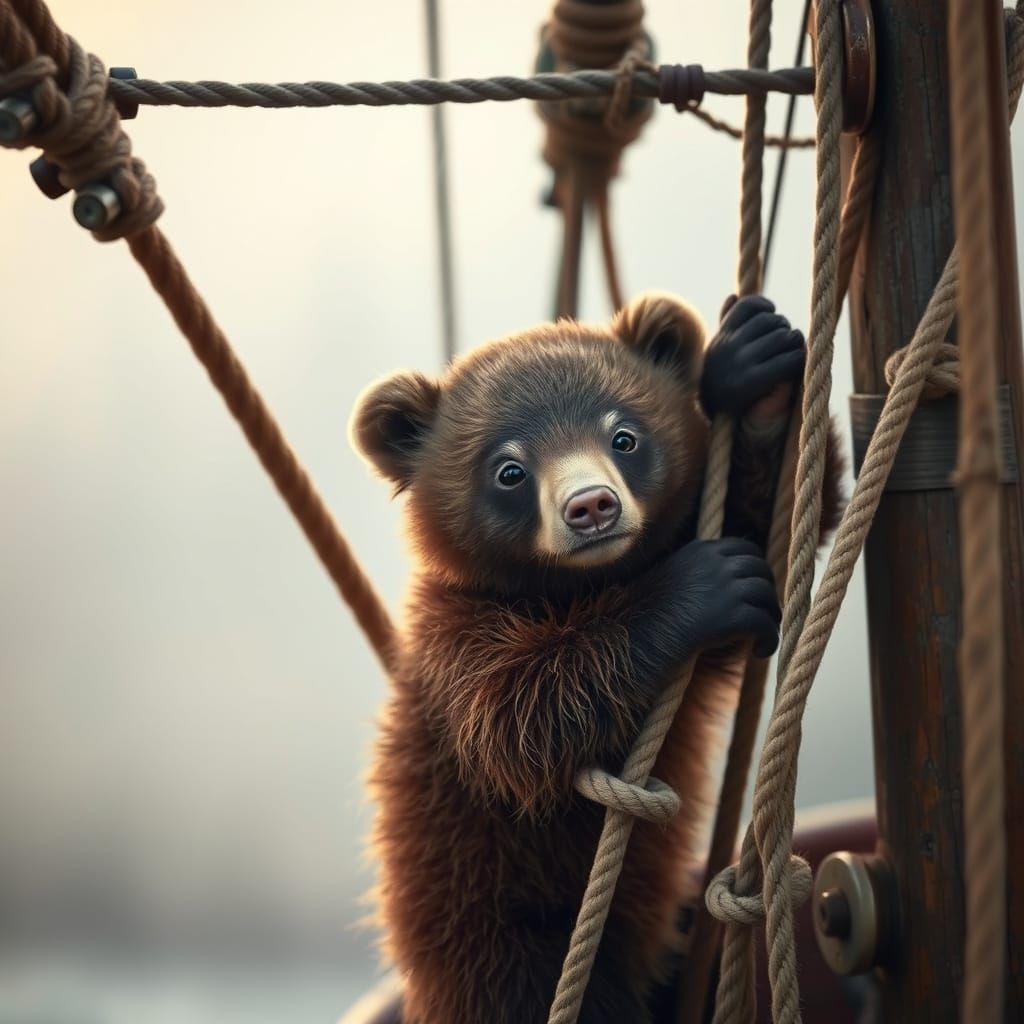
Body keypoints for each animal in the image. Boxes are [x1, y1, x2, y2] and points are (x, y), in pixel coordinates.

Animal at [350, 293, 844, 1024]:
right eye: (509, 470)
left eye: (624, 437)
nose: (590, 505)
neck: (575, 588)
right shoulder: (455, 646)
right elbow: (518, 719)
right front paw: (702, 585)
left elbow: (769, 547)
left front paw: (751, 364)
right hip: (498, 940)